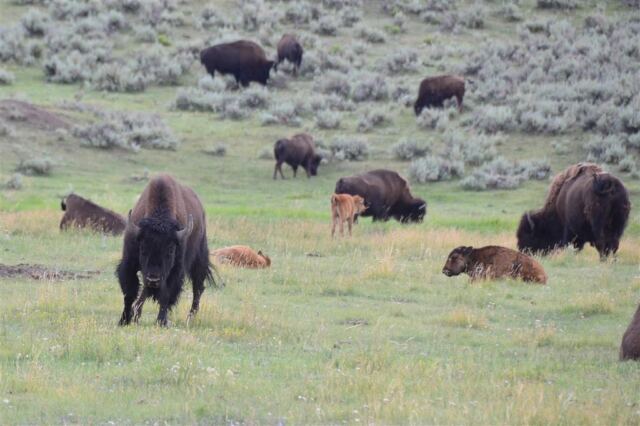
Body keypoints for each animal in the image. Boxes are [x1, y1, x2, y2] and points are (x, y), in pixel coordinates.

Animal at [116, 175, 216, 327]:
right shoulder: (129, 264)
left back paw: (189, 319)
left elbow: (167, 295)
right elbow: (130, 292)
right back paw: (137, 313)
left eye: (170, 250)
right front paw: (124, 320)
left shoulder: (175, 271)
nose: (153, 279)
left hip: (199, 259)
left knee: (198, 288)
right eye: (143, 248)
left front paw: (161, 321)